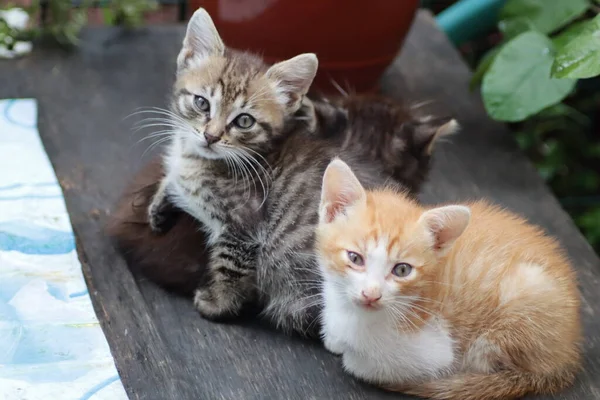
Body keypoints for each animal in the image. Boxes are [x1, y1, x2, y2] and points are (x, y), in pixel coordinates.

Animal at [314, 158, 580, 398]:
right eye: (355, 258)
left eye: (402, 270)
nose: (371, 294)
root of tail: (567, 357)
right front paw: (335, 339)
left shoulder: (434, 351)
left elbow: (366, 364)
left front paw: (351, 355)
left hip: (522, 297)